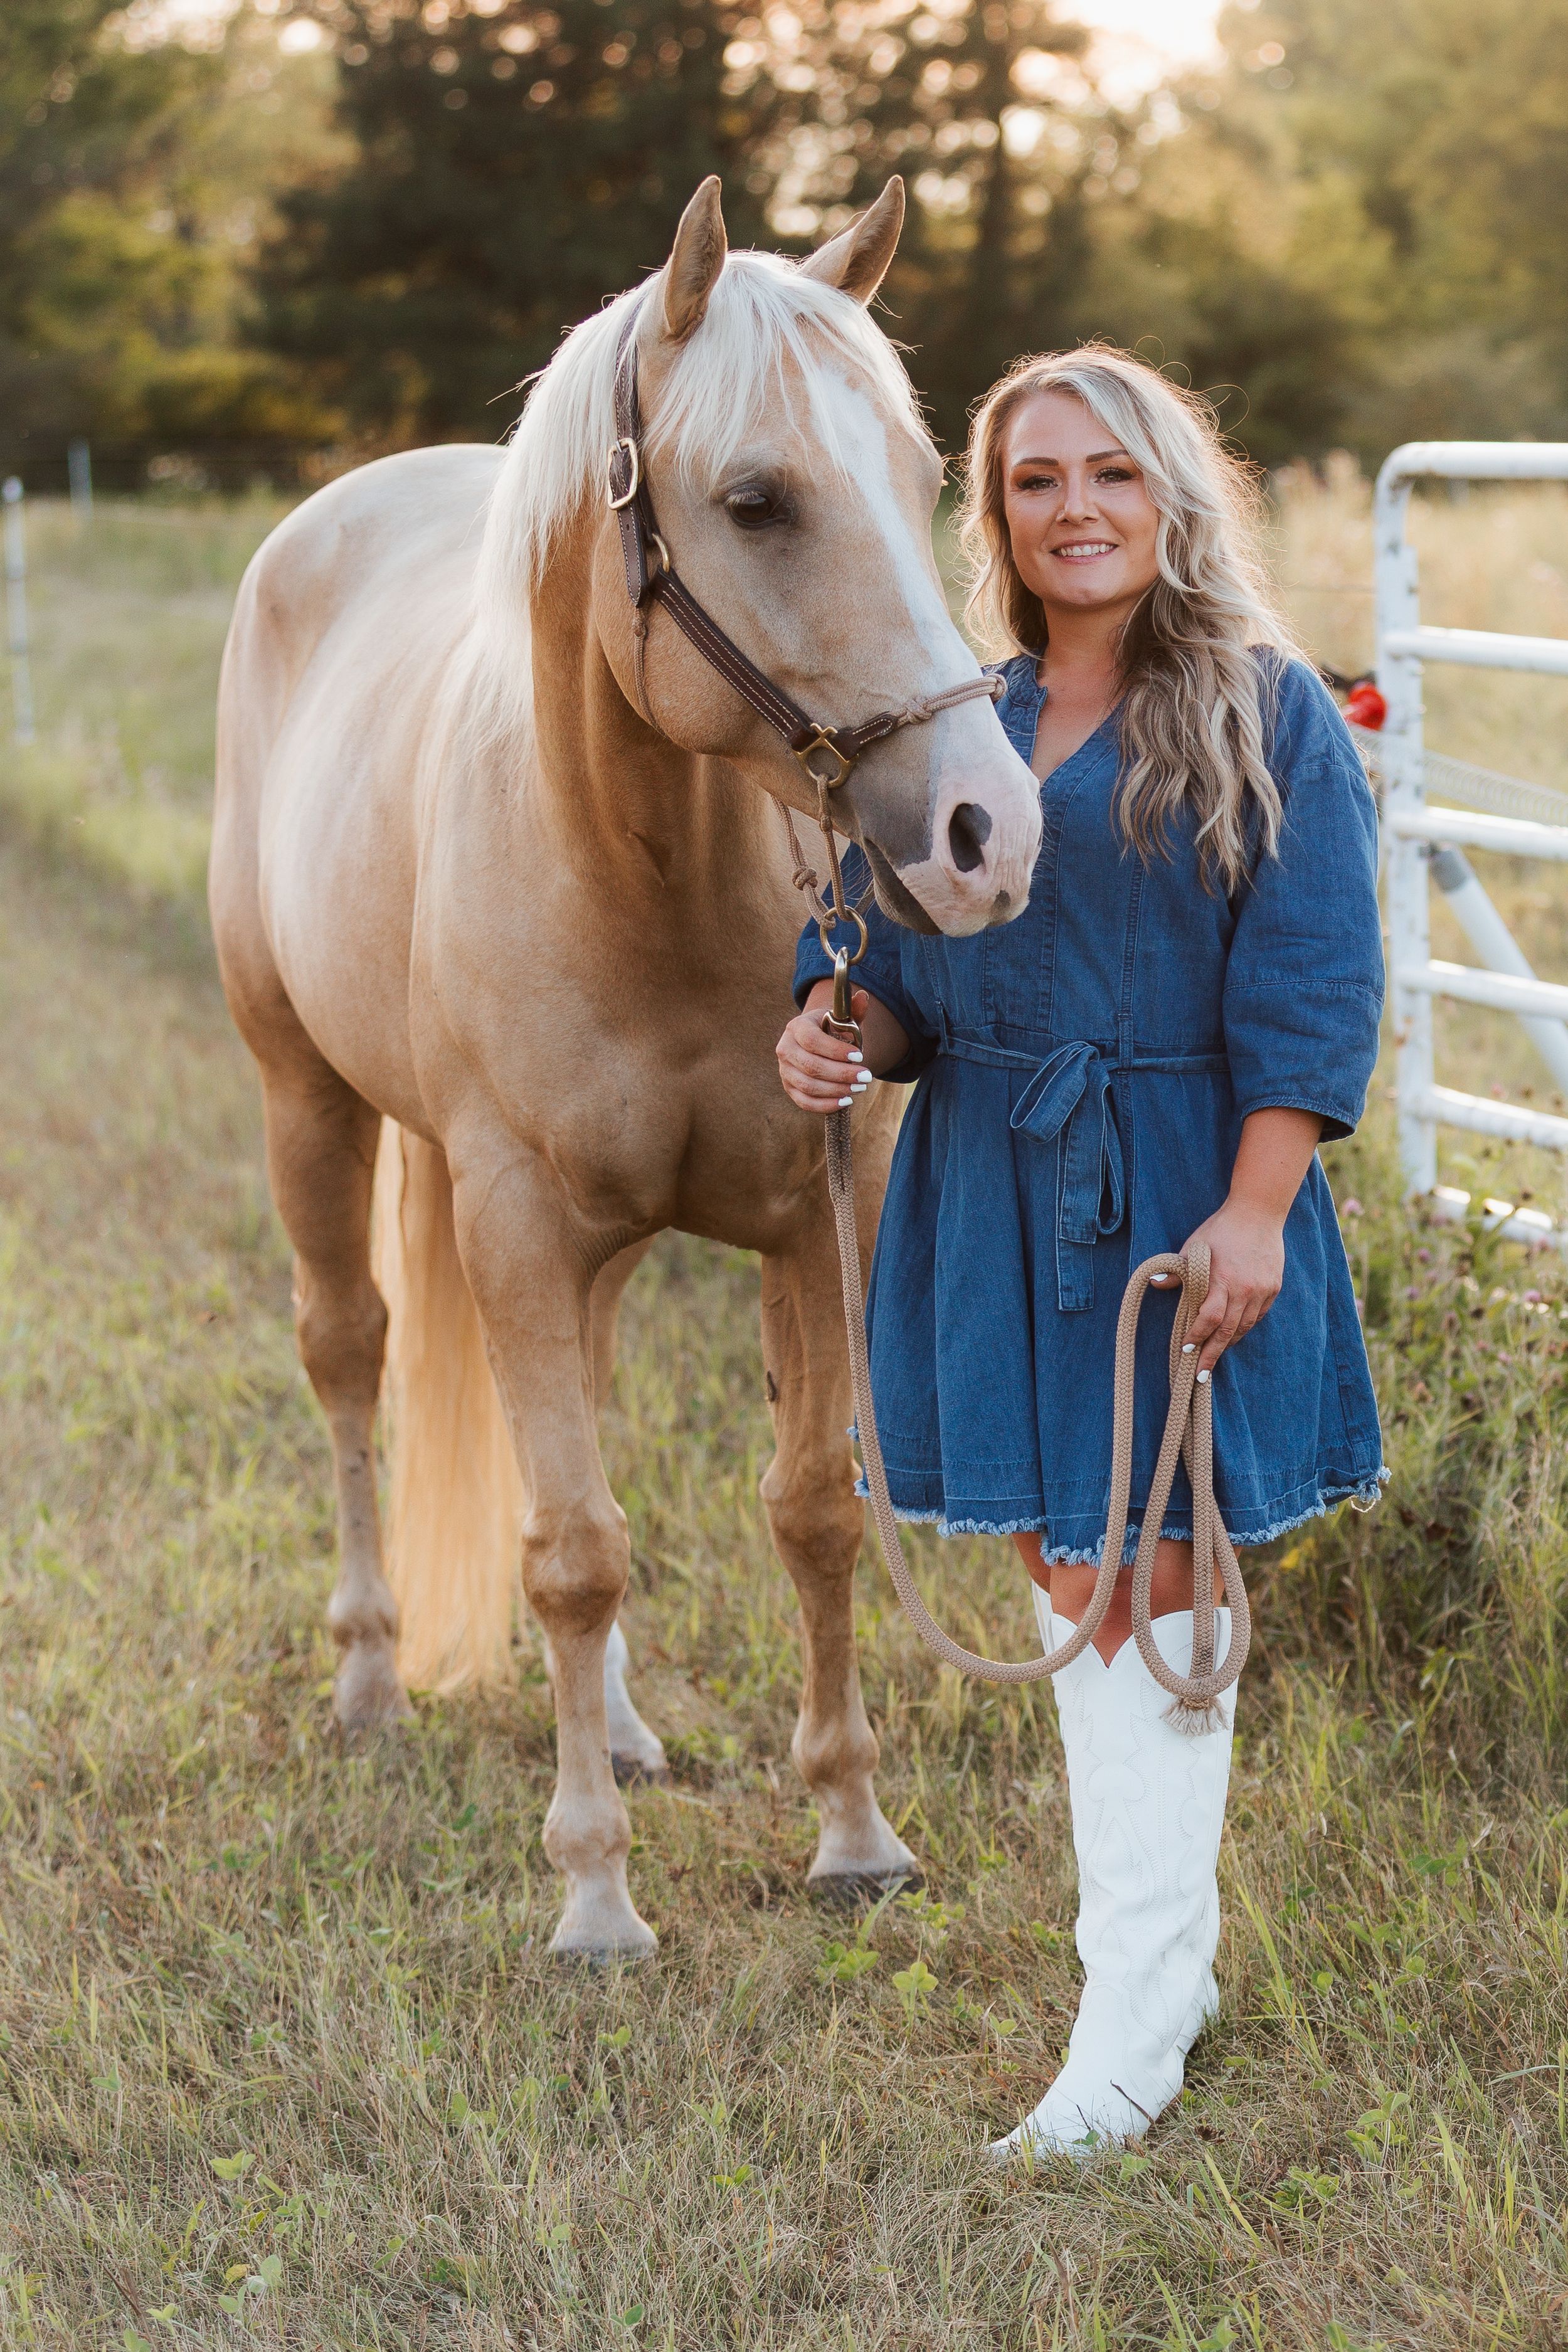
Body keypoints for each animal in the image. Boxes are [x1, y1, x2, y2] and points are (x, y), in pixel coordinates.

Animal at [209, 176, 1042, 1958]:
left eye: (926, 478)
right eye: (757, 499)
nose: (986, 836)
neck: (636, 868)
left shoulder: (812, 1215)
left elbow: (807, 1510)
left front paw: (853, 1828)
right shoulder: (513, 1217)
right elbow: (573, 1553)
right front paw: (593, 1890)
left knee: (571, 1413)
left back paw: (625, 1723)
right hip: (308, 1105)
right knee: (349, 1358)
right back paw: (373, 1680)